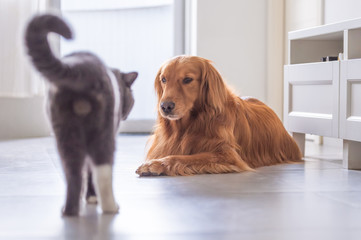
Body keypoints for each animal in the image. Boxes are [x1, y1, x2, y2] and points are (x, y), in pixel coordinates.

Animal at [24, 14, 136, 217]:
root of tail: (80, 68)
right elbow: (92, 173)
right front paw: (92, 197)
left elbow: (85, 173)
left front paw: (87, 197)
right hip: (103, 133)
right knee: (102, 171)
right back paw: (111, 207)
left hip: (65, 135)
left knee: (73, 173)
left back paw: (69, 210)